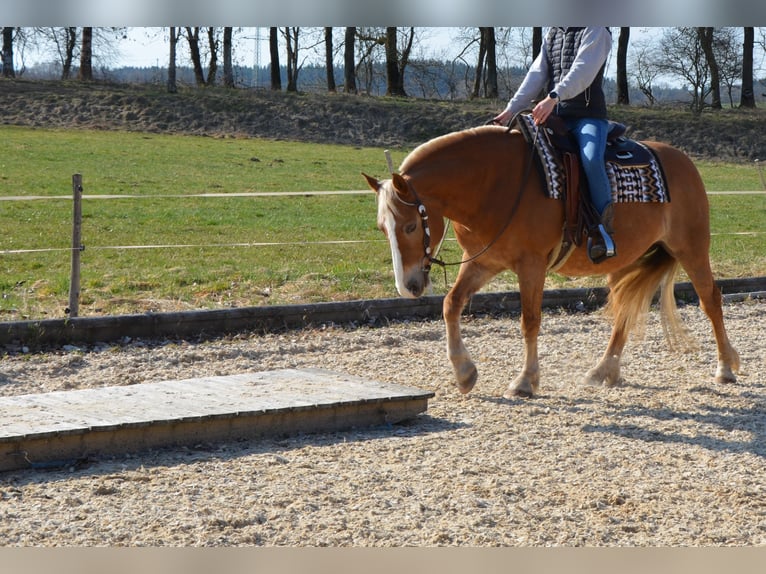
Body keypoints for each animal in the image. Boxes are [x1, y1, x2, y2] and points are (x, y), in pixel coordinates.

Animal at [363, 123, 740, 398]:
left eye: (410, 225)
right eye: (382, 227)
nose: (408, 286)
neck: (494, 184)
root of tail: (683, 161)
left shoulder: (531, 265)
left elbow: (530, 320)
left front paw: (525, 380)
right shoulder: (482, 262)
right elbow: (451, 304)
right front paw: (464, 373)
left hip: (691, 247)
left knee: (710, 300)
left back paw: (725, 368)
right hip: (624, 261)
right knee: (624, 310)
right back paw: (604, 370)